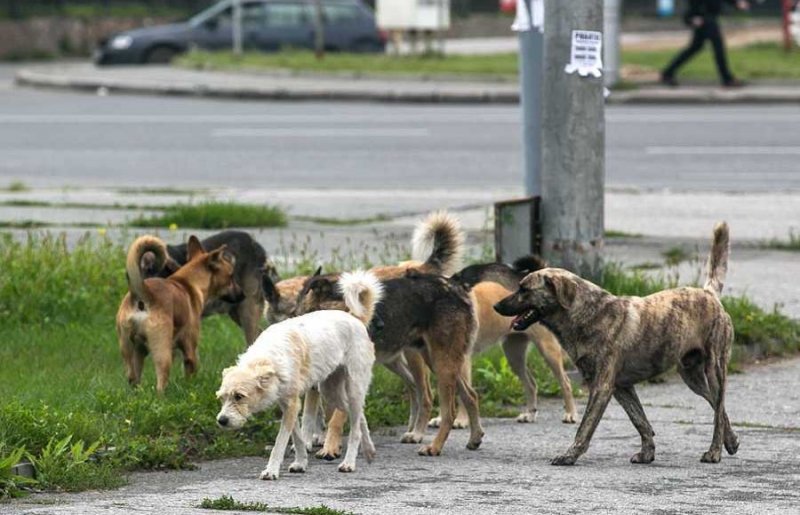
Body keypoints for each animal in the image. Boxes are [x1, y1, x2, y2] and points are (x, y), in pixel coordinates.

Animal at [115, 236, 241, 394]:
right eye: (231, 276)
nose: (242, 295)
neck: (188, 283)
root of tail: (142, 294)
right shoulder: (190, 350)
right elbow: (190, 373)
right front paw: (190, 389)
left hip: (130, 350)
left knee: (133, 378)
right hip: (162, 351)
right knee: (160, 382)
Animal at [216, 270, 384, 480]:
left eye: (239, 396)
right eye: (222, 398)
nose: (221, 421)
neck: (268, 359)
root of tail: (355, 318)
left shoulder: (292, 405)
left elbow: (280, 442)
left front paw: (271, 470)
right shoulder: (289, 405)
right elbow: (297, 438)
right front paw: (300, 463)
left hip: (352, 387)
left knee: (354, 429)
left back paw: (349, 463)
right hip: (331, 392)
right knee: (359, 416)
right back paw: (369, 450)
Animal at [496, 224, 740, 466]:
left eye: (524, 289)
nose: (496, 306)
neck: (586, 314)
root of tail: (708, 293)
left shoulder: (601, 387)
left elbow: (585, 427)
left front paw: (569, 455)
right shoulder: (622, 387)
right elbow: (640, 421)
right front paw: (647, 453)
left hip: (715, 369)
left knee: (718, 410)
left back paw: (714, 452)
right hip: (692, 377)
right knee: (718, 407)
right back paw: (731, 440)